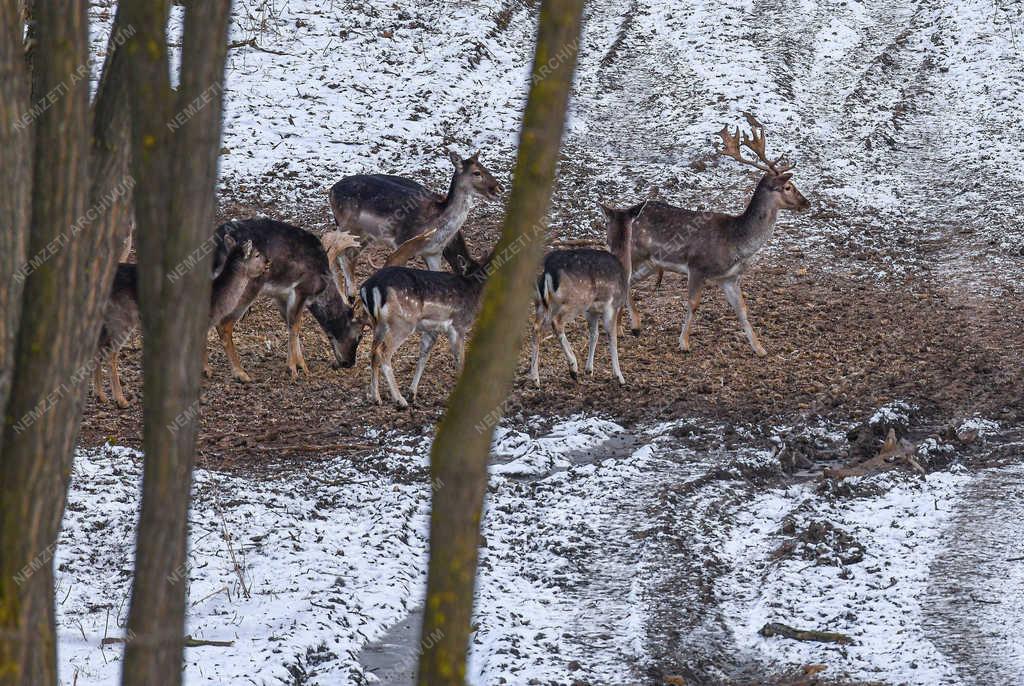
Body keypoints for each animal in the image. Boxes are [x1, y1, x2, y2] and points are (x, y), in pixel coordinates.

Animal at [209, 219, 366, 380]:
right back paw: (240, 373)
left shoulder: (280, 295)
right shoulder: (301, 289)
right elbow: (295, 324)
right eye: (360, 335)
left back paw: (207, 369)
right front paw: (293, 368)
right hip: (247, 285)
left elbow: (291, 323)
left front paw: (301, 365)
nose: (349, 363)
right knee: (223, 324)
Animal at [329, 151, 501, 294]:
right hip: (348, 225)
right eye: (477, 172)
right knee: (339, 253)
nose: (498, 189)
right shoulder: (402, 243)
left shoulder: (433, 253)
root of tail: (331, 191)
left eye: (486, 168)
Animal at [358, 247, 493, 409]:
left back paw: (376, 397)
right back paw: (399, 400)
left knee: (373, 352)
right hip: (402, 322)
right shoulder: (458, 325)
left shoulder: (432, 329)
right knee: (383, 352)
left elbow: (424, 354)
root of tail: (369, 287)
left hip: (378, 324)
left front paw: (412, 393)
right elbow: (460, 359)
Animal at [532, 248, 626, 389]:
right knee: (557, 321)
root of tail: (548, 269)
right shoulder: (612, 306)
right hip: (576, 300)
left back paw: (535, 379)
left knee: (536, 328)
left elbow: (594, 334)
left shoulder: (591, 311)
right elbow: (612, 337)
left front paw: (589, 370)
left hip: (541, 302)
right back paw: (573, 368)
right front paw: (619, 377)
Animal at [606, 111, 806, 360]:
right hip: (632, 252)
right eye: (788, 187)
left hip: (651, 263)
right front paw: (684, 343)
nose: (806, 203)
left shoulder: (730, 277)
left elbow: (742, 309)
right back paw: (632, 325)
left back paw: (622, 327)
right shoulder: (697, 266)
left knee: (629, 282)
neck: (736, 242)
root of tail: (619, 217)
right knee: (622, 279)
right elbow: (693, 303)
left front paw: (759, 348)